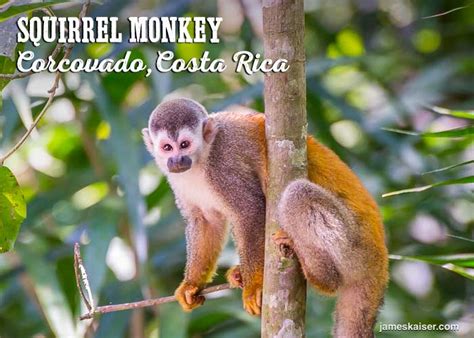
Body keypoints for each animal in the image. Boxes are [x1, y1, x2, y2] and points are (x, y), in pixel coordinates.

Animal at [143, 97, 386, 336]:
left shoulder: (223, 167)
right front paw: (191, 285)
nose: (177, 160)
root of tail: (379, 260)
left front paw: (253, 287)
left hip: (354, 246)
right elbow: (206, 221)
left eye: (184, 144)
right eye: (167, 148)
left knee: (297, 193)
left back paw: (322, 279)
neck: (202, 158)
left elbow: (249, 211)